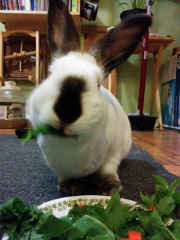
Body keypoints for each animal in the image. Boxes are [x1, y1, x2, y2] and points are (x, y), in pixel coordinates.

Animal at [25, 0, 152, 195]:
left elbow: (108, 169)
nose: (67, 111)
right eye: (50, 74)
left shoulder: (113, 153)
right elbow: (65, 175)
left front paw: (111, 188)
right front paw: (69, 187)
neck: (72, 147)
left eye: (98, 83)